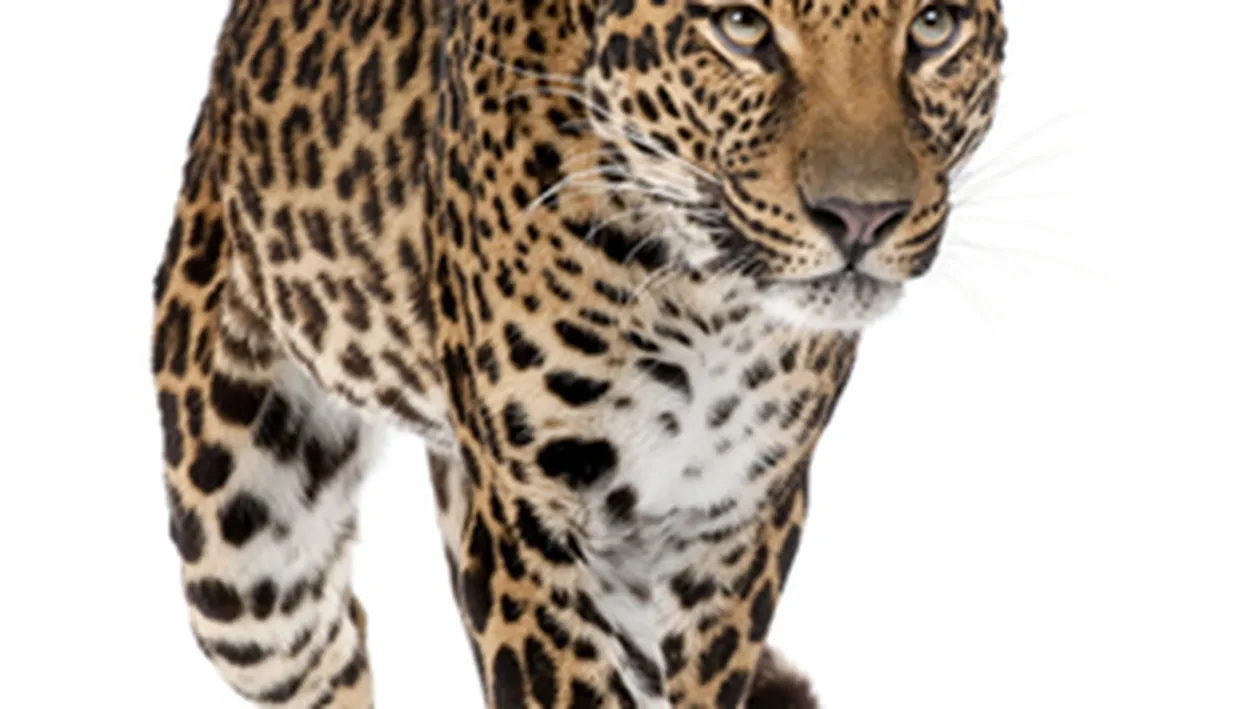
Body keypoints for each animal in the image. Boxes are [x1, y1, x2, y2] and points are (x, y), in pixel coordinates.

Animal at [151, 0, 1005, 706]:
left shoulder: (734, 521)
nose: (862, 218)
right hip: (247, 569)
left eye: (934, 26)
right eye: (742, 26)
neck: (705, 299)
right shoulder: (530, 523)